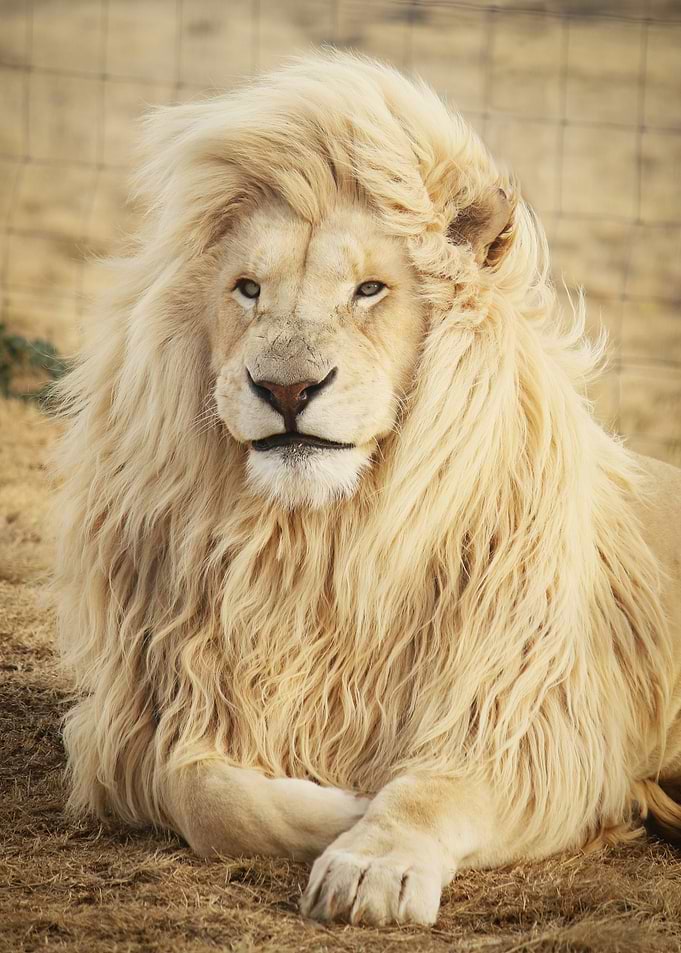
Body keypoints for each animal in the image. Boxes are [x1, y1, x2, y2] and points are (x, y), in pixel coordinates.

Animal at [54, 51, 681, 927]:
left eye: (369, 290)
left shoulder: (528, 723)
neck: (318, 542)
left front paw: (369, 861)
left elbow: (429, 790)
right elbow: (205, 792)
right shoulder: (151, 717)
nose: (285, 388)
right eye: (247, 288)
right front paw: (341, 806)